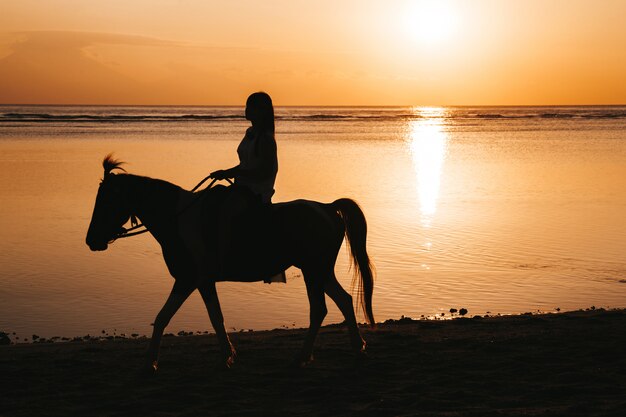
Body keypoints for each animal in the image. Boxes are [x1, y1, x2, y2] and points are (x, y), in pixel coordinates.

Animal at [85, 155, 372, 370]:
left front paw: (150, 362)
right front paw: (227, 355)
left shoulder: (187, 279)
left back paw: (303, 356)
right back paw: (358, 348)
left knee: (319, 309)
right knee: (343, 300)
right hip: (320, 271)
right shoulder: (203, 281)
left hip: (314, 270)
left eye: (105, 201)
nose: (91, 240)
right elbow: (216, 317)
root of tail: (328, 207)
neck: (178, 219)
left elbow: (163, 316)